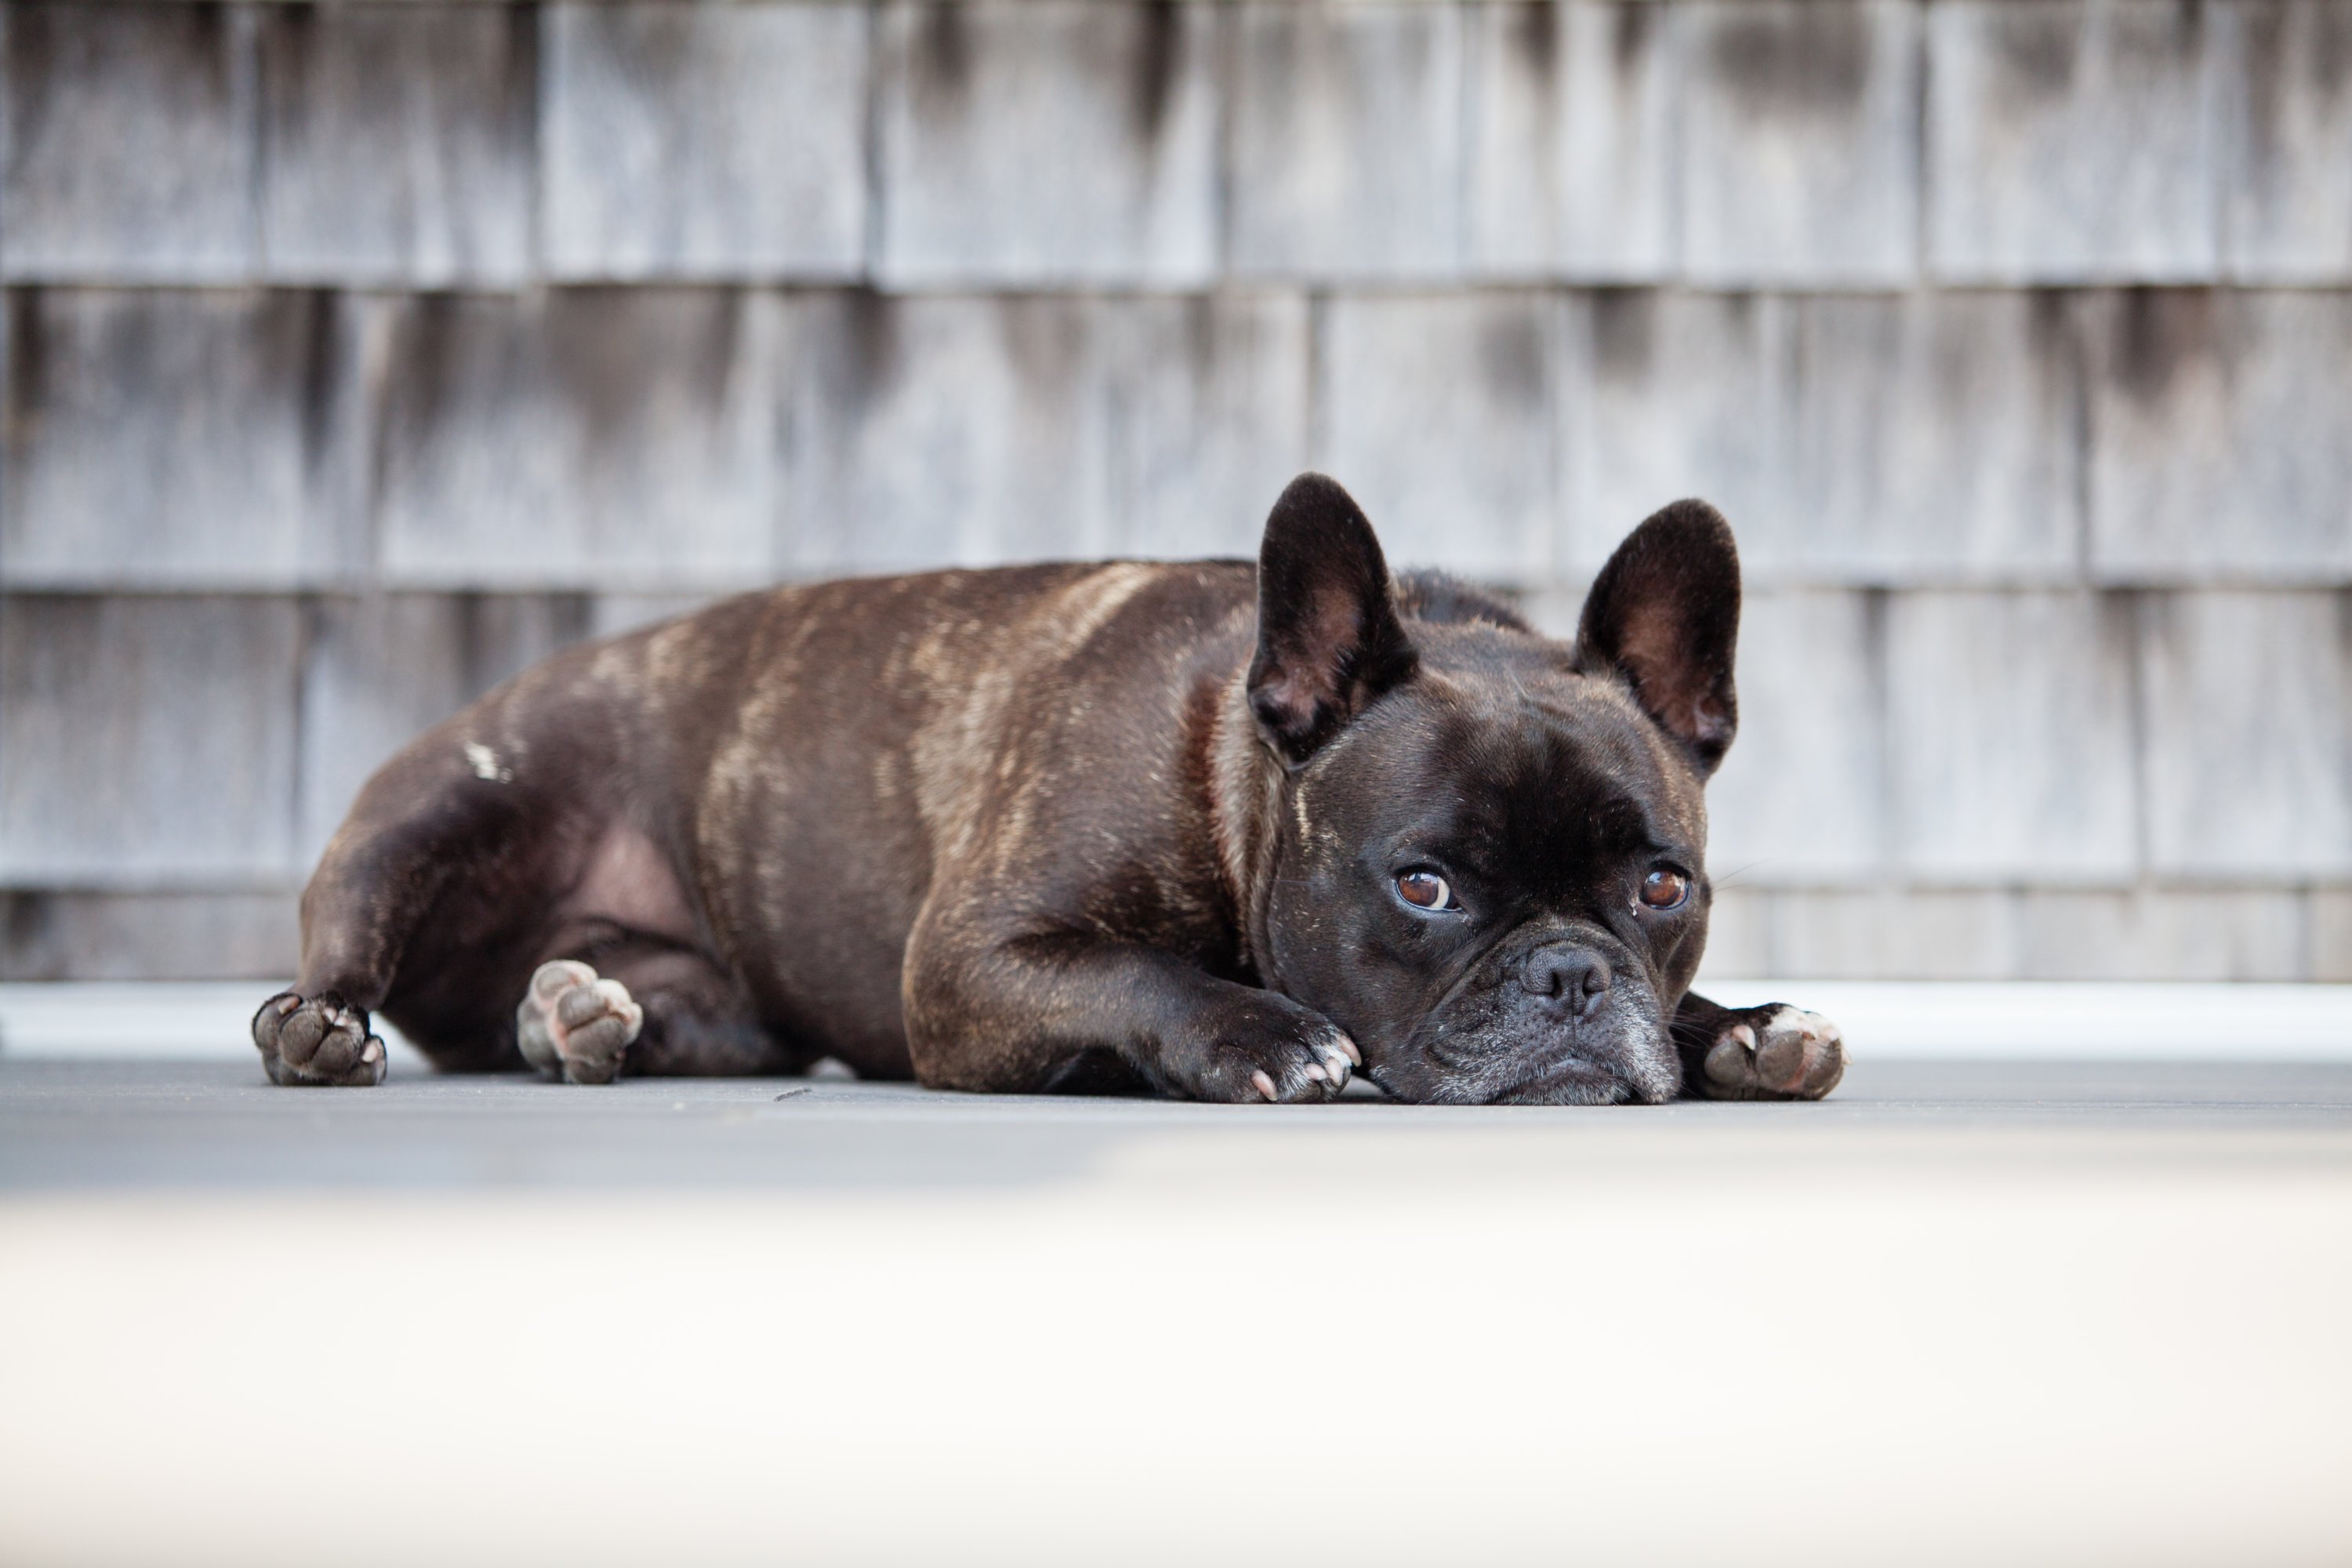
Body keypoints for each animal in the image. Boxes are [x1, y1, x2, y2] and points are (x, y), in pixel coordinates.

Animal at [252, 474, 1835, 1105]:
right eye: (1425, 885)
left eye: (1662, 889)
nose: (1571, 978)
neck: (1231, 771)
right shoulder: (970, 962)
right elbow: (1139, 972)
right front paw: (1265, 1033)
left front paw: (1738, 1028)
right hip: (439, 810)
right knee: (352, 946)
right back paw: (324, 1028)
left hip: (726, 1006)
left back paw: (578, 1013)